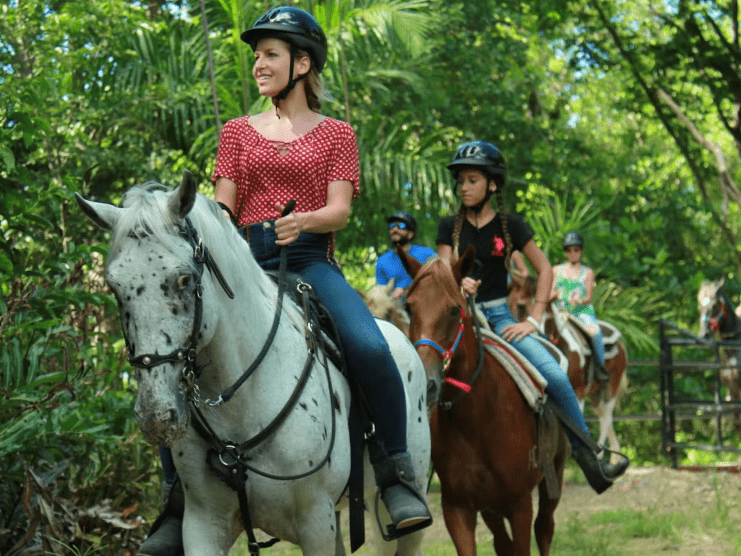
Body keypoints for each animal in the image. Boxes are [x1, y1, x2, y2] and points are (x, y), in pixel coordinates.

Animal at [398, 247, 568, 556]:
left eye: (454, 310)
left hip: (554, 478)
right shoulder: (457, 508)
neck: (476, 421)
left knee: (545, 529)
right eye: (409, 308)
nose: (426, 382)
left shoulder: (520, 505)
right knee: (503, 542)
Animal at [508, 276, 624, 458]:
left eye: (547, 312)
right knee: (605, 416)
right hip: (595, 393)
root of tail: (620, 344)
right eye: (520, 305)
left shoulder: (578, 390)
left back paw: (600, 454)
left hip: (612, 387)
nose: (536, 335)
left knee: (606, 418)